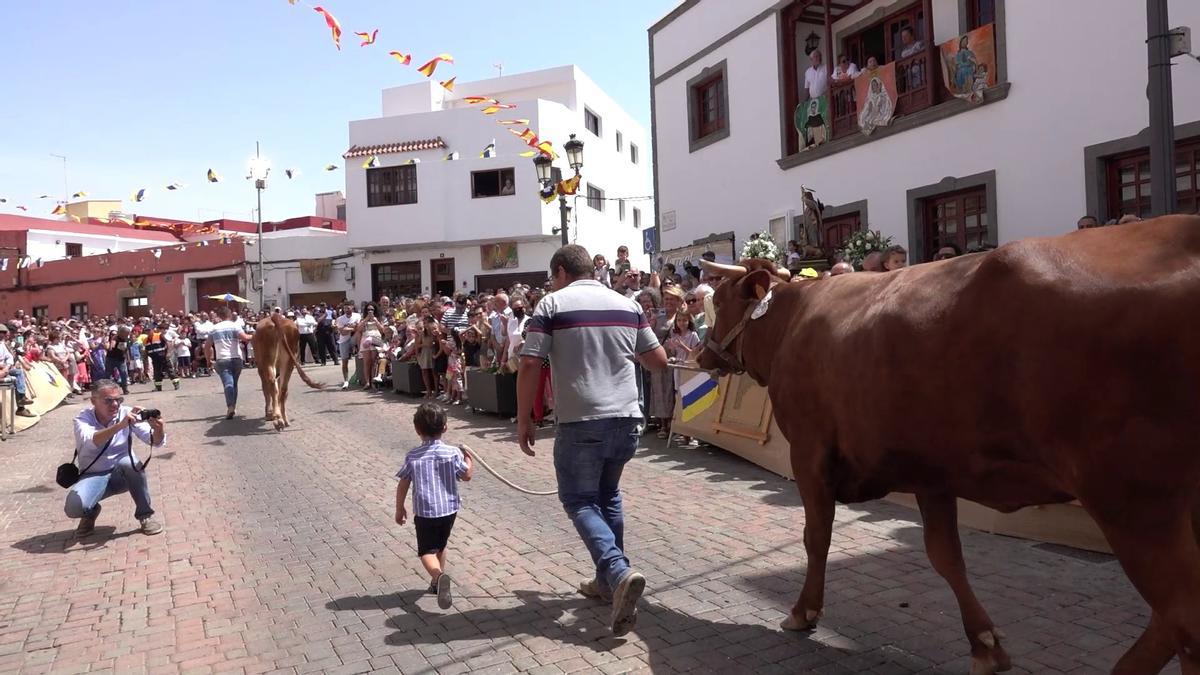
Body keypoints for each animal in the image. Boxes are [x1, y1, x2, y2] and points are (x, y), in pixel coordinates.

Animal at [696, 213, 1200, 672]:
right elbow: (945, 556)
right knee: (1171, 620)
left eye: (718, 299)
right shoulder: (929, 470)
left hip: (1129, 497)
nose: (701, 355)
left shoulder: (809, 452)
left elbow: (816, 536)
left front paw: (803, 611)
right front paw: (985, 645)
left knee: (1183, 619)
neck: (792, 322)